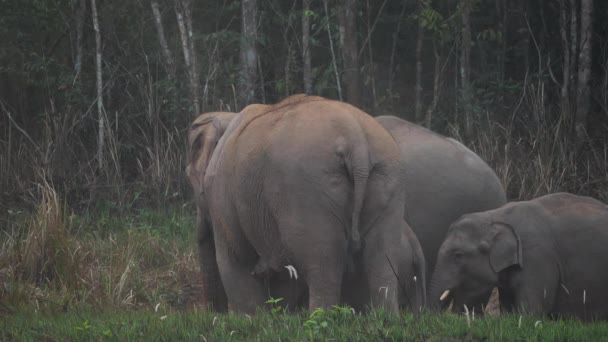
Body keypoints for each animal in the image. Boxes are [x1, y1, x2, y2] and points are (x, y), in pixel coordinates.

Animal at [202, 95, 426, 314]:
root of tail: (356, 139)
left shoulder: (221, 197)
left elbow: (235, 262)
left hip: (307, 190)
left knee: (323, 266)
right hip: (388, 177)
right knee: (382, 259)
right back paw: (388, 318)